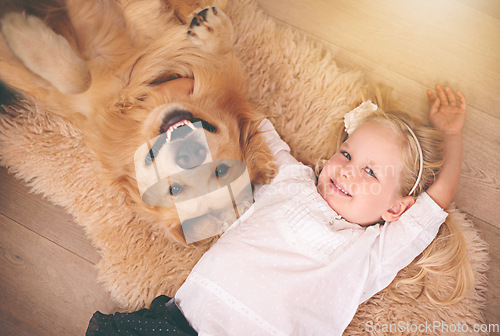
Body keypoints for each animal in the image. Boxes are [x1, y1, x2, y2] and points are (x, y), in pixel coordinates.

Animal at [0, 0, 274, 244]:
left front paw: (17, 29)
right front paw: (214, 31)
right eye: (175, 190)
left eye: (221, 170)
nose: (190, 155)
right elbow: (78, 78)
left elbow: (75, 77)